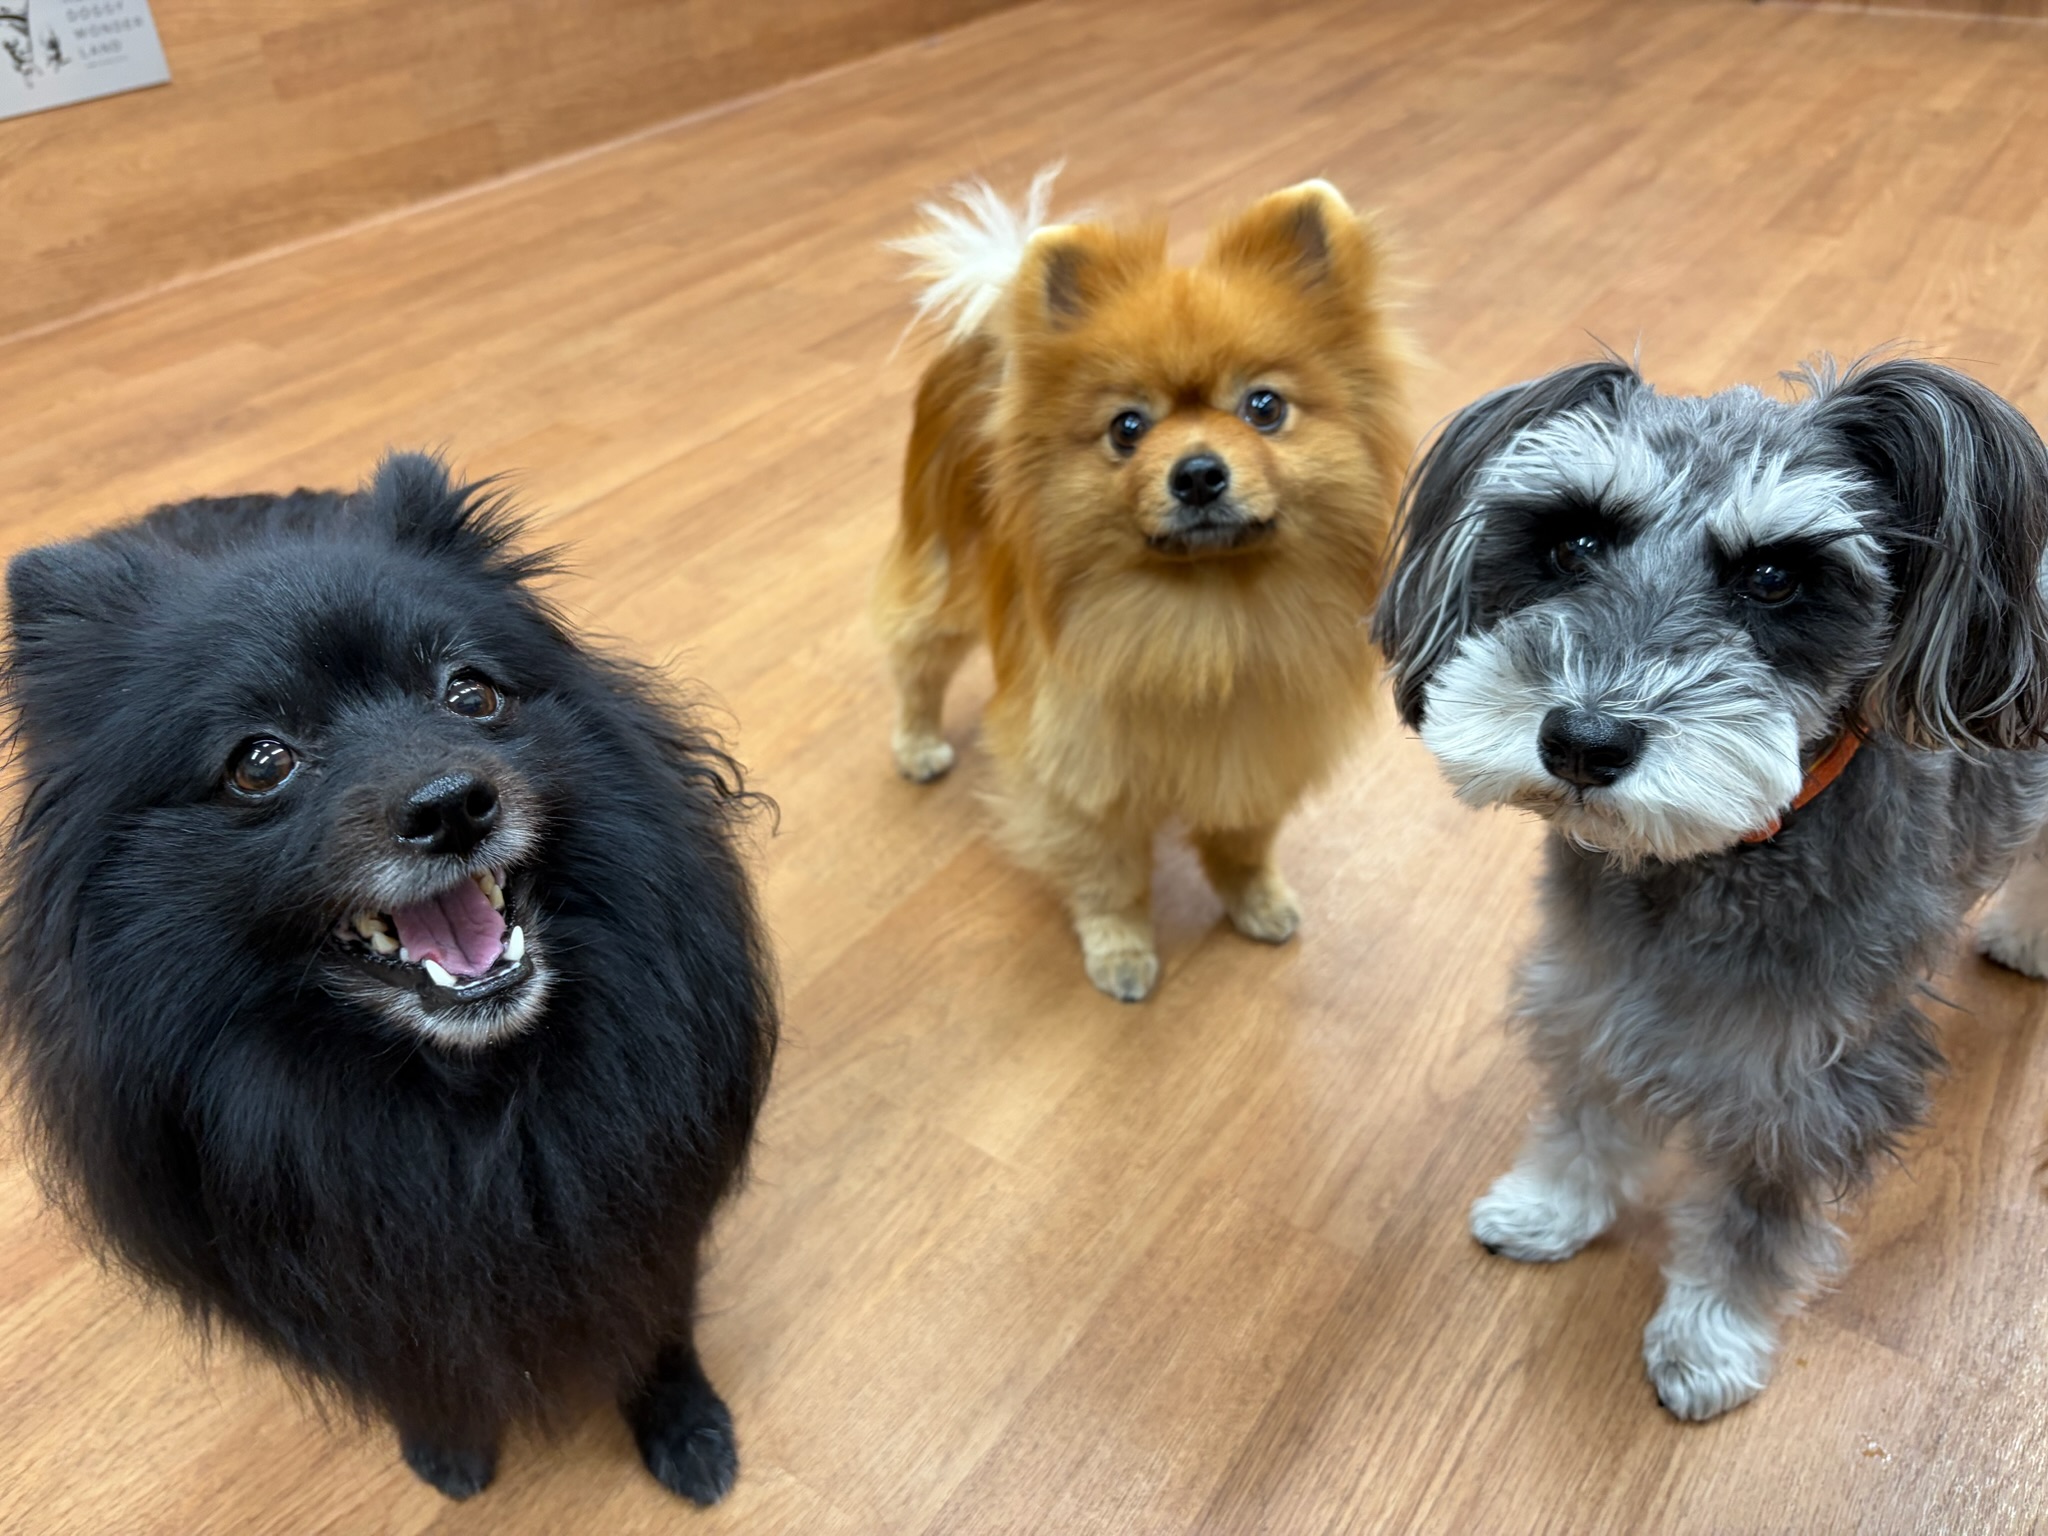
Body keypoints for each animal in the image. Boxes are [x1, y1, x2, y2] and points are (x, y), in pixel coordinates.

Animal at [0, 455, 777, 1500]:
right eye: (260, 762)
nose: (452, 806)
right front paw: (448, 1441)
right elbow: (415, 1359)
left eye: (470, 695)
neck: (468, 1100)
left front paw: (684, 1423)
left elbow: (658, 1315)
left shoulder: (645, 1191)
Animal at [875, 169, 1410, 1000]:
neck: (1211, 614)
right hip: (944, 578)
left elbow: (1243, 840)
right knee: (917, 662)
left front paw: (1255, 900)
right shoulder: (1082, 770)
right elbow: (1110, 875)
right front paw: (1120, 949)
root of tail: (990, 330)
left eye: (1264, 407)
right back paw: (919, 743)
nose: (1196, 473)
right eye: (1127, 427)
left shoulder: (1259, 744)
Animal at [1372, 354, 2048, 1420]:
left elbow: (1753, 1220)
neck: (1702, 863)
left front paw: (1708, 1338)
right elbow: (1588, 1109)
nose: (1583, 741)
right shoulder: (1594, 988)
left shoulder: (1802, 1086)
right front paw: (1553, 1205)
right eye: (1571, 541)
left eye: (1774, 577)